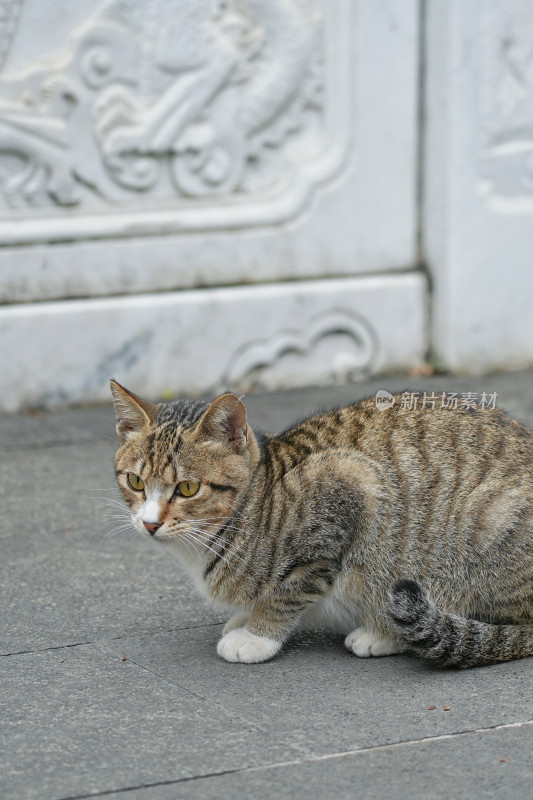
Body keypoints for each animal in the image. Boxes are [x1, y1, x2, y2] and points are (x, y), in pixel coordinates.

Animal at [109, 378, 532, 664]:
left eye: (188, 487)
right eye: (135, 482)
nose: (150, 523)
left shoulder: (349, 487)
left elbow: (287, 592)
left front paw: (257, 635)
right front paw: (245, 617)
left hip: (482, 522)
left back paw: (384, 634)